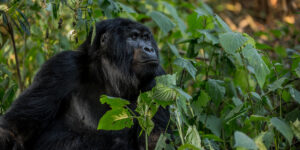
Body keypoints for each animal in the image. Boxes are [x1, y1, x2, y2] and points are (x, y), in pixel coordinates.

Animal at [0, 18, 169, 149]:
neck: (108, 76)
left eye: (146, 38)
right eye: (133, 37)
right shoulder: (62, 66)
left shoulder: (157, 79)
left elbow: (154, 141)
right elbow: (14, 130)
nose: (149, 48)